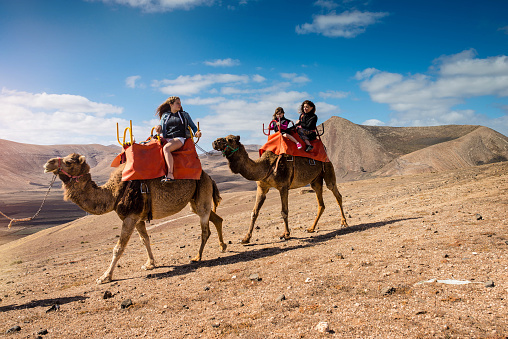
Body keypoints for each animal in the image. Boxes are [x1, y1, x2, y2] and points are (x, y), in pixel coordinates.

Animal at [43, 154, 226, 284]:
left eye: (69, 162)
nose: (48, 164)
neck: (114, 193)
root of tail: (209, 177)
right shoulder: (138, 218)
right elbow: (145, 240)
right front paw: (150, 264)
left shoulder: (130, 216)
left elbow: (118, 248)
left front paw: (104, 277)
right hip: (195, 200)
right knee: (216, 218)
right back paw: (222, 246)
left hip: (202, 192)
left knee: (205, 229)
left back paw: (197, 256)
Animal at [211, 135, 350, 244]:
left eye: (230, 139)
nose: (215, 142)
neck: (266, 166)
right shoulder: (262, 187)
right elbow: (254, 212)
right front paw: (246, 238)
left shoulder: (283, 186)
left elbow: (284, 211)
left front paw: (286, 234)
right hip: (315, 180)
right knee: (321, 204)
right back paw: (311, 228)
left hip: (327, 168)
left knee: (336, 194)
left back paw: (344, 222)